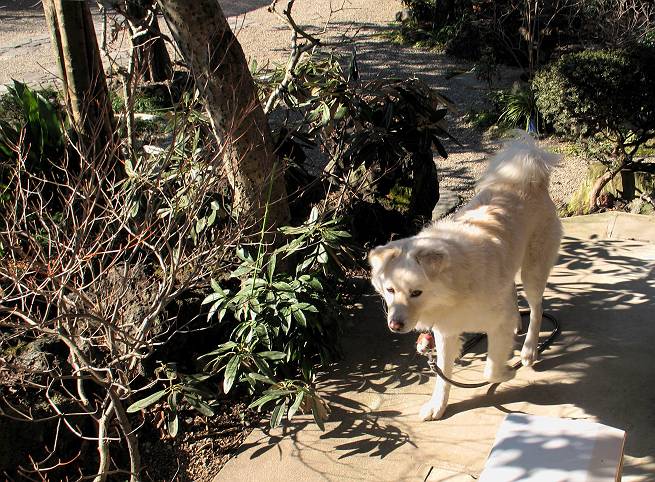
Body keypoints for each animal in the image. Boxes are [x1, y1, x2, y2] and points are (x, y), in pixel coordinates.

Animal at [369, 132, 562, 421]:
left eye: (416, 292)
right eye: (390, 290)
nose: (395, 326)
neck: (454, 291)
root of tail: (529, 178)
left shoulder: (494, 324)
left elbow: (490, 369)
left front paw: (507, 372)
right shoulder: (446, 331)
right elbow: (443, 375)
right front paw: (438, 406)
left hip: (533, 270)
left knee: (537, 308)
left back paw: (529, 350)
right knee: (512, 293)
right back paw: (518, 322)